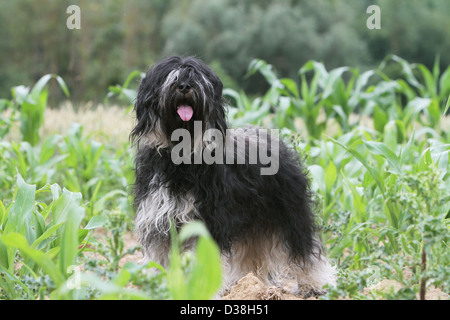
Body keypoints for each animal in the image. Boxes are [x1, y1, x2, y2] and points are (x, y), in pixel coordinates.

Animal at [129, 55, 334, 298]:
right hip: (255, 221)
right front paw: (159, 288)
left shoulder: (208, 222)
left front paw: (202, 289)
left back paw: (312, 284)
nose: (185, 87)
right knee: (253, 252)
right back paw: (247, 284)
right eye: (174, 77)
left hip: (289, 213)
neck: (180, 159)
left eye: (197, 78)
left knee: (304, 248)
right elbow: (161, 259)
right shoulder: (159, 220)